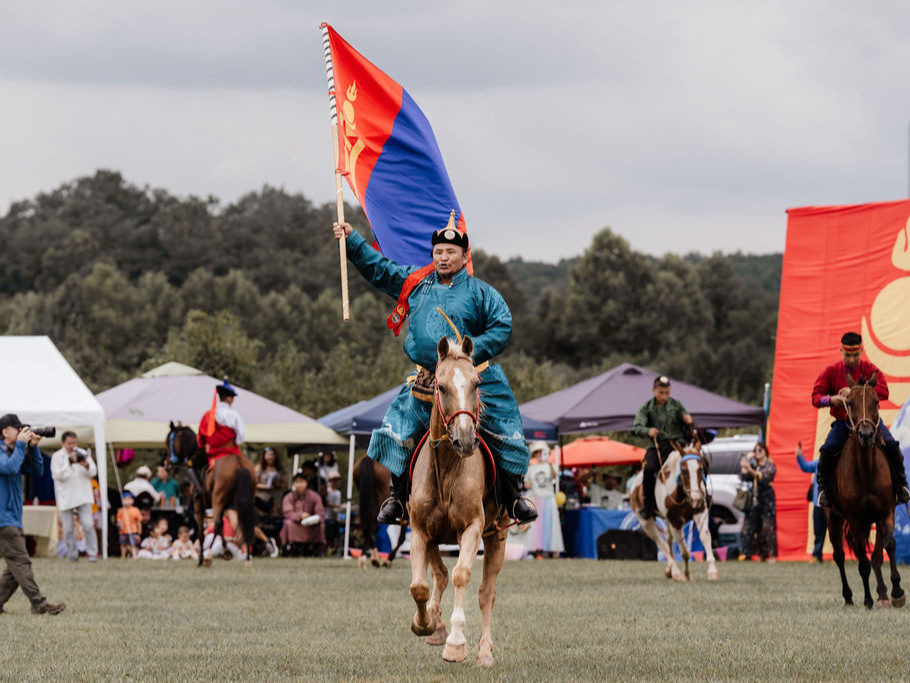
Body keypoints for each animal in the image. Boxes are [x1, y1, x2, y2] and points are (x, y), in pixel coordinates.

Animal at [164, 422, 255, 568]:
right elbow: (223, 528)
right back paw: (246, 557)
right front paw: (225, 549)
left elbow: (203, 532)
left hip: (218, 500)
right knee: (246, 522)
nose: (167, 465)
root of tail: (239, 464)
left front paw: (202, 557)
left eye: (168, 442)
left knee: (217, 524)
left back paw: (207, 556)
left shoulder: (199, 506)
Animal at [408, 336, 510, 668]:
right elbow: (420, 585)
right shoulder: (419, 529)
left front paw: (455, 644)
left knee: (486, 592)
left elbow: (461, 575)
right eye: (440, 387)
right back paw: (435, 625)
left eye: (477, 384)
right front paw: (424, 624)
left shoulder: (473, 528)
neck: (447, 468)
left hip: (498, 536)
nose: (465, 440)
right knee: (439, 575)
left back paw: (484, 652)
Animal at [628, 444, 720, 584]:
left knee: (668, 541)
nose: (696, 497)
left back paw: (669, 571)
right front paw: (684, 574)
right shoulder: (674, 521)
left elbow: (705, 537)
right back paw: (675, 572)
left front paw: (712, 572)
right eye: (684, 470)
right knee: (661, 543)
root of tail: (634, 487)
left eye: (701, 468)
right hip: (645, 522)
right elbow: (685, 551)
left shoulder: (700, 513)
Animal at [828, 372, 904, 612]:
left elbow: (887, 547)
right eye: (850, 403)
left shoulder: (886, 512)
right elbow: (862, 563)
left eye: (877, 402)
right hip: (833, 518)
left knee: (877, 555)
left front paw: (896, 592)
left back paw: (883, 594)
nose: (867, 434)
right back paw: (849, 596)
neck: (866, 471)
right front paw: (868, 599)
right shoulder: (855, 520)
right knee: (840, 556)